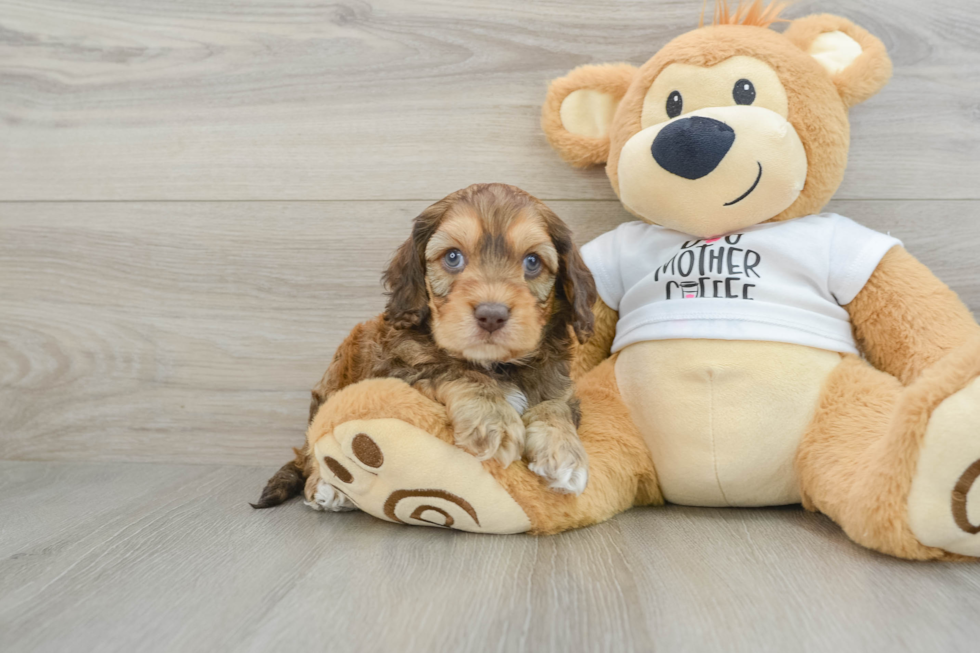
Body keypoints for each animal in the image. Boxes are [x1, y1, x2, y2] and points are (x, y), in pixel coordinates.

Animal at [255, 182, 596, 510]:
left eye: (533, 261)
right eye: (453, 257)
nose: (491, 315)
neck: (496, 365)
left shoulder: (561, 386)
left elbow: (555, 406)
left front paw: (565, 453)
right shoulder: (397, 370)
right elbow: (453, 371)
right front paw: (493, 421)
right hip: (332, 383)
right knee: (313, 445)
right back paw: (325, 486)